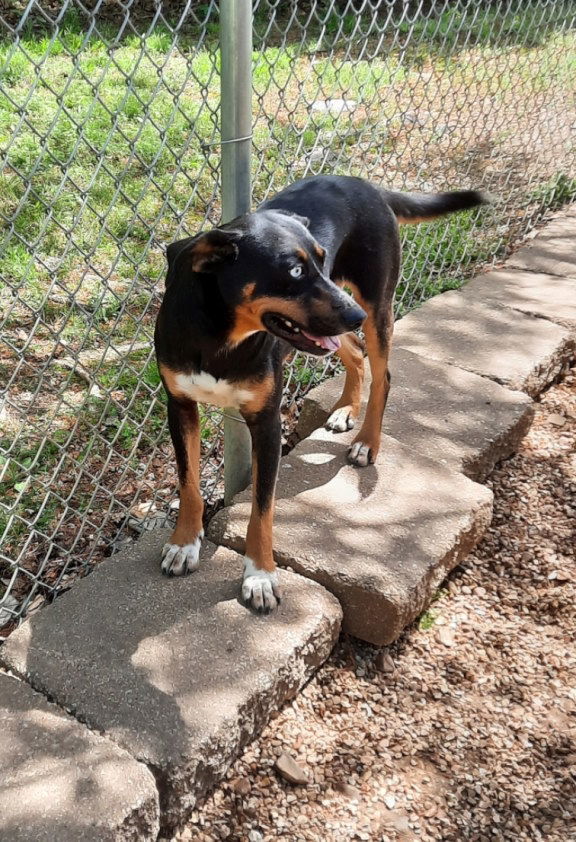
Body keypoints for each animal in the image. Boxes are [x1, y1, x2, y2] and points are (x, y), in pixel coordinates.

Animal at [155, 176, 488, 612]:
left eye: (321, 259)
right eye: (295, 270)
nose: (354, 316)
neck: (219, 336)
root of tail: (367, 184)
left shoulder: (267, 422)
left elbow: (262, 508)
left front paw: (260, 574)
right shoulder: (179, 406)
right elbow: (189, 483)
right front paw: (183, 544)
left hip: (373, 304)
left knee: (382, 374)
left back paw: (367, 441)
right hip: (332, 327)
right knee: (354, 352)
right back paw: (347, 408)